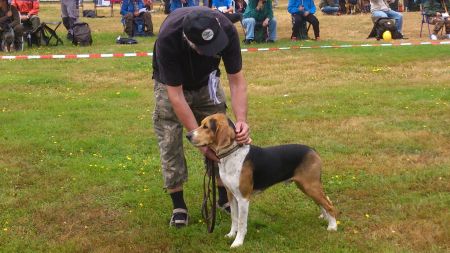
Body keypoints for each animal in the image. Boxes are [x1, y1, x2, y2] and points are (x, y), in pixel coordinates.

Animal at [186, 113, 338, 248]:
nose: (188, 135)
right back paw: (326, 218)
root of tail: (312, 150)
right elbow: (234, 218)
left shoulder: (243, 198)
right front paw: (231, 235)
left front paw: (238, 242)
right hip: (306, 186)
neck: (232, 154)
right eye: (201, 124)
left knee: (329, 204)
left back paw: (332, 226)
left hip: (310, 186)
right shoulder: (231, 195)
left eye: (206, 127)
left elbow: (241, 222)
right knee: (324, 202)